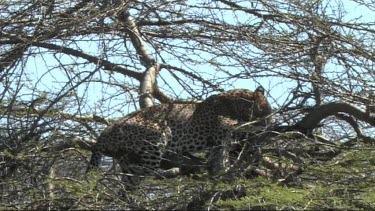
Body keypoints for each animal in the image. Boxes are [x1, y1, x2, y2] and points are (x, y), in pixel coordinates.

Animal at [89, 86, 272, 189]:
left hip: (126, 159)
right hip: (158, 132)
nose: (270, 120)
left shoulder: (217, 141)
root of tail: (103, 134)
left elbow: (218, 155)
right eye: (266, 110)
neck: (234, 103)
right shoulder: (222, 129)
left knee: (129, 180)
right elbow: (242, 130)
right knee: (146, 171)